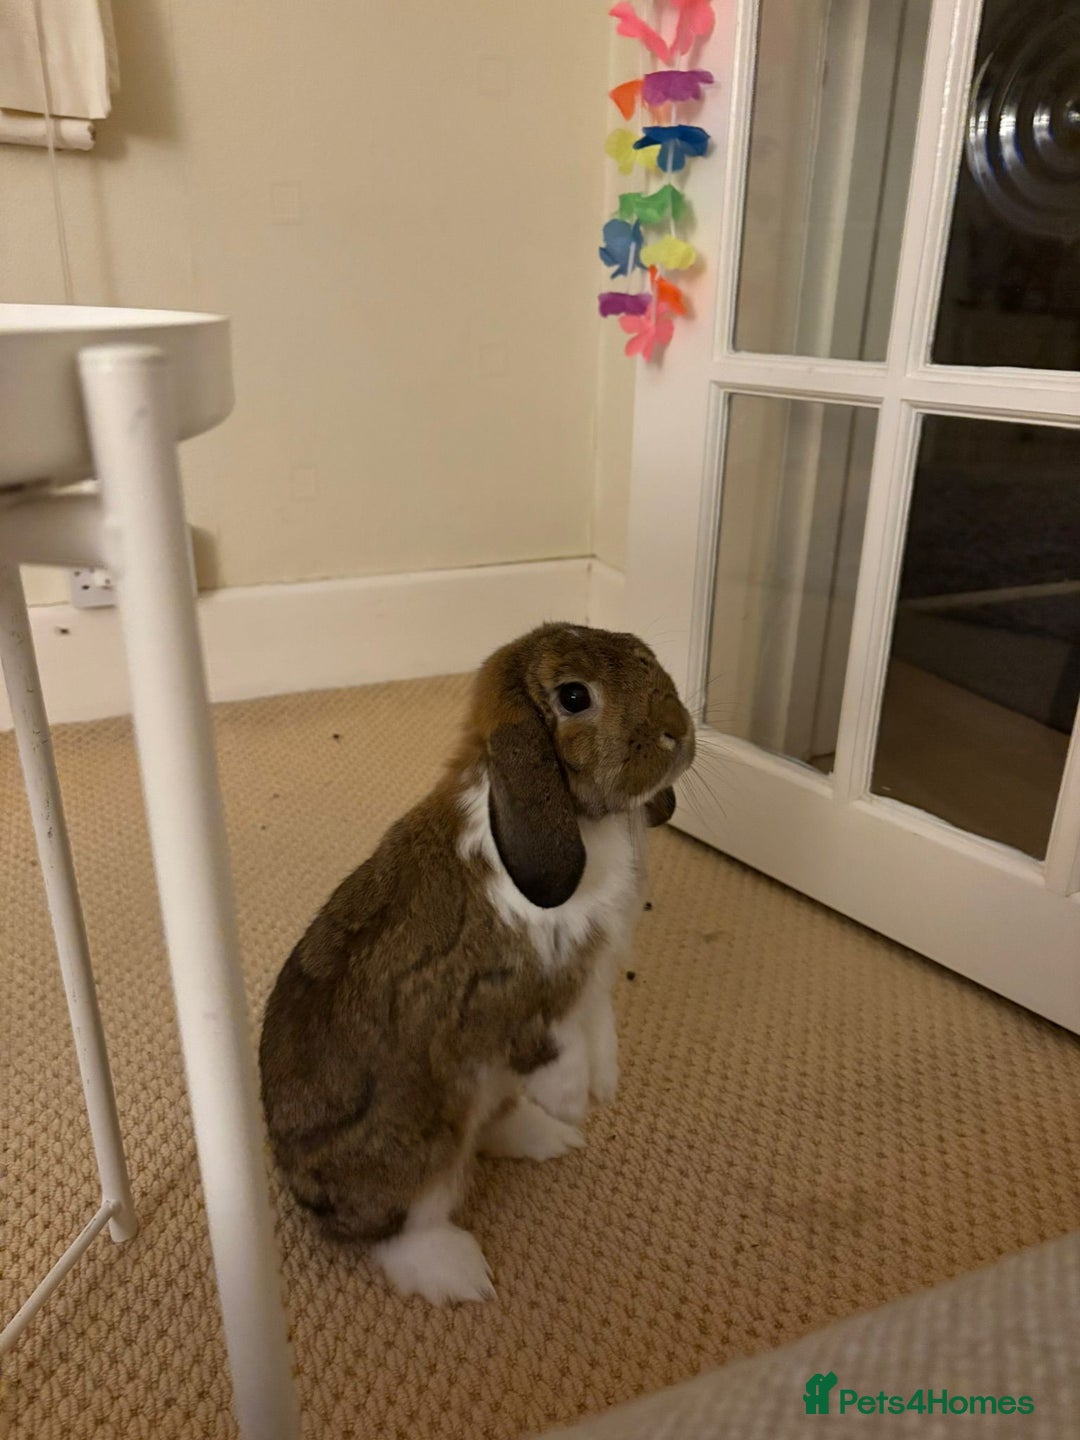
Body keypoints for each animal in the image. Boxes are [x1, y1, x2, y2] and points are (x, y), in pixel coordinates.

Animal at [258, 623, 694, 1305]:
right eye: (575, 697)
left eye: (641, 652)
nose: (677, 730)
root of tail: (303, 1190)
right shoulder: (510, 996)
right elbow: (554, 1044)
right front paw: (575, 1099)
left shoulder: (593, 985)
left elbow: (599, 1032)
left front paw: (603, 1089)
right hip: (417, 1147)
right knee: (403, 1224)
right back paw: (460, 1276)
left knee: (492, 1125)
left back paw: (548, 1138)